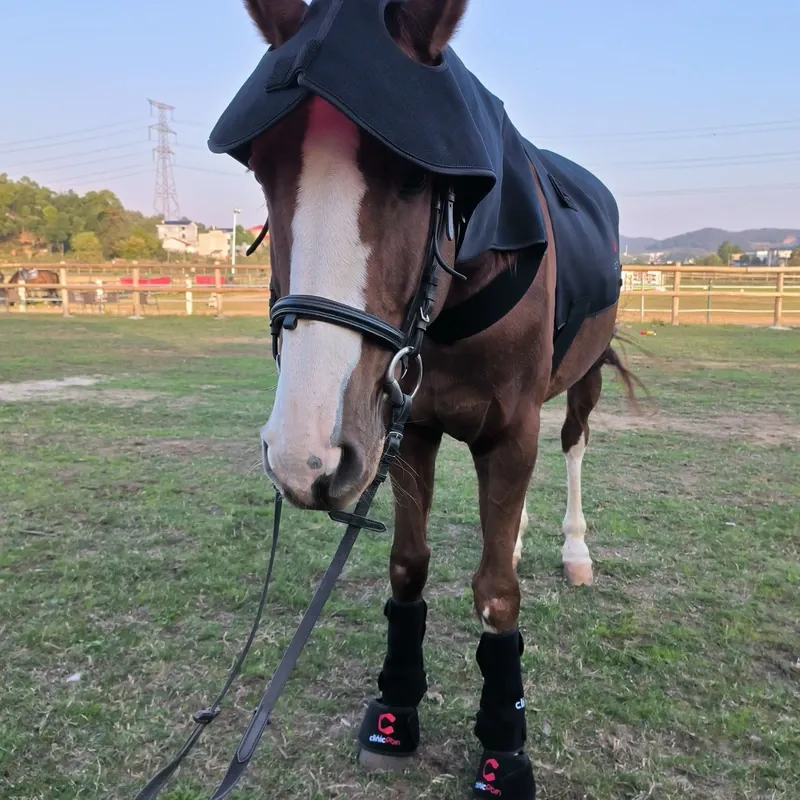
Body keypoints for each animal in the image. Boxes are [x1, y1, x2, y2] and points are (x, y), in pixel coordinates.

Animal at [192, 2, 642, 797]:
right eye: (270, 176)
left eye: (413, 183)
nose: (303, 455)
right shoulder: (406, 426)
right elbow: (408, 564)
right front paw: (396, 709)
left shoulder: (510, 430)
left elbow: (497, 594)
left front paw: (503, 747)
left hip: (579, 383)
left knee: (573, 449)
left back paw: (573, 549)